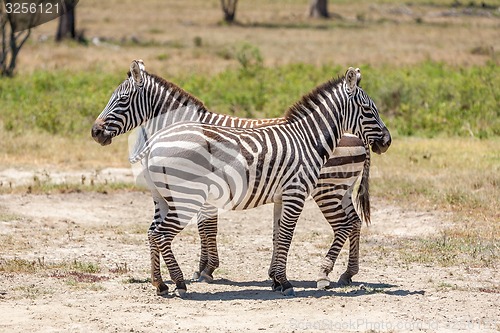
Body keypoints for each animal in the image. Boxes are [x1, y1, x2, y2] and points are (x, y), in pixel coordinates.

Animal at [93, 61, 390, 296]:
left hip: (331, 188)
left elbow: (257, 232)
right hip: (334, 190)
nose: (95, 132)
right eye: (368, 109)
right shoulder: (283, 193)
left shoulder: (280, 193)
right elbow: (227, 230)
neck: (307, 137)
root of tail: (358, 139)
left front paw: (210, 270)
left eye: (120, 100)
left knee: (347, 224)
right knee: (350, 223)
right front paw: (210, 270)